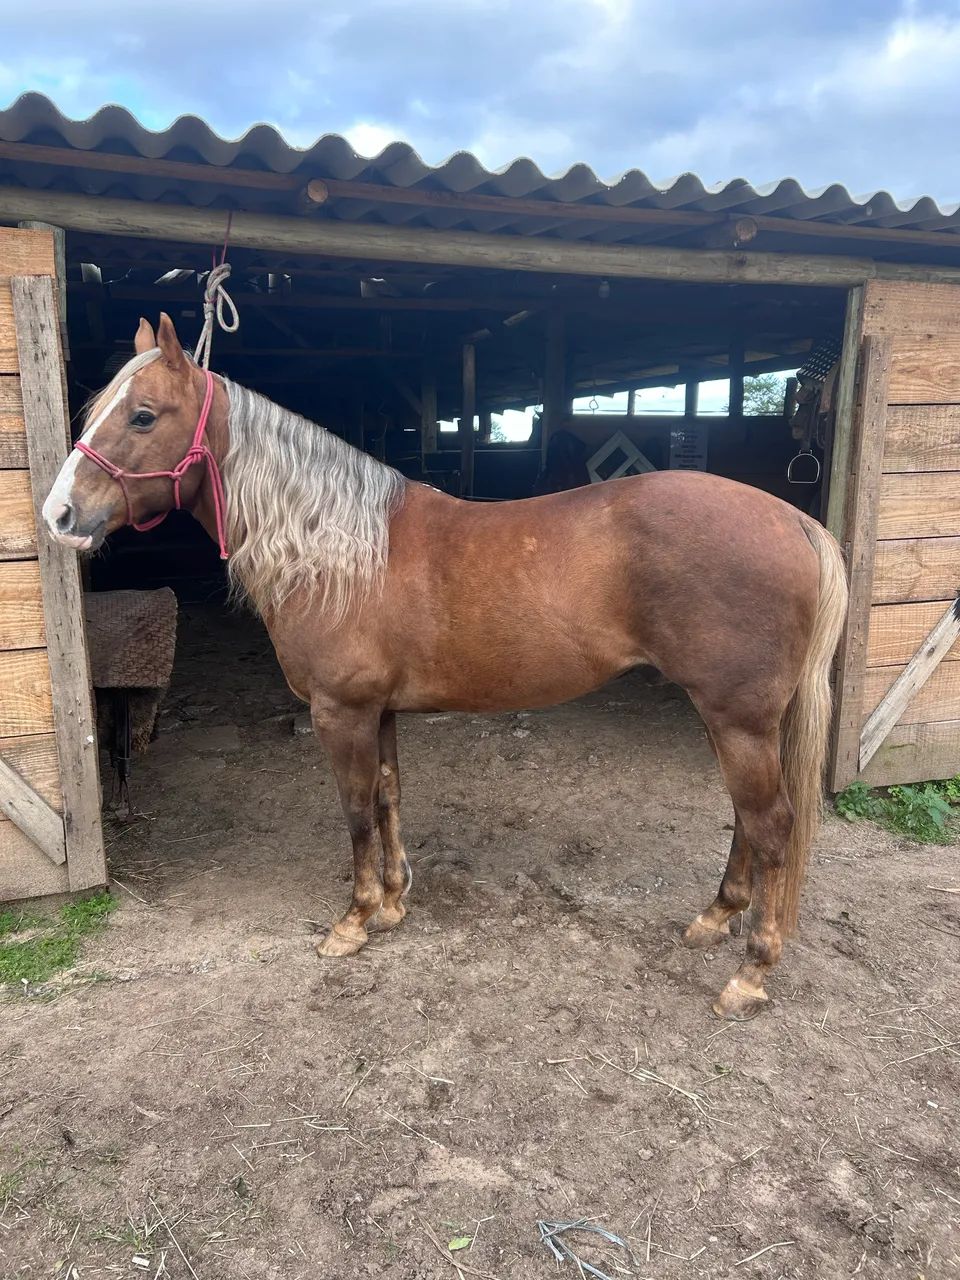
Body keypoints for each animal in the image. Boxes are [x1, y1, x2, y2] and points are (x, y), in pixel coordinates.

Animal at [42, 314, 848, 1021]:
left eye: (143, 416)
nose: (58, 516)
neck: (338, 550)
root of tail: (793, 519)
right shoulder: (379, 711)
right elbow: (389, 796)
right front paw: (395, 903)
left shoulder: (340, 712)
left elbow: (356, 811)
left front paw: (354, 921)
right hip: (732, 718)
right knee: (748, 820)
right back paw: (714, 919)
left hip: (737, 717)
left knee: (771, 826)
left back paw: (750, 972)